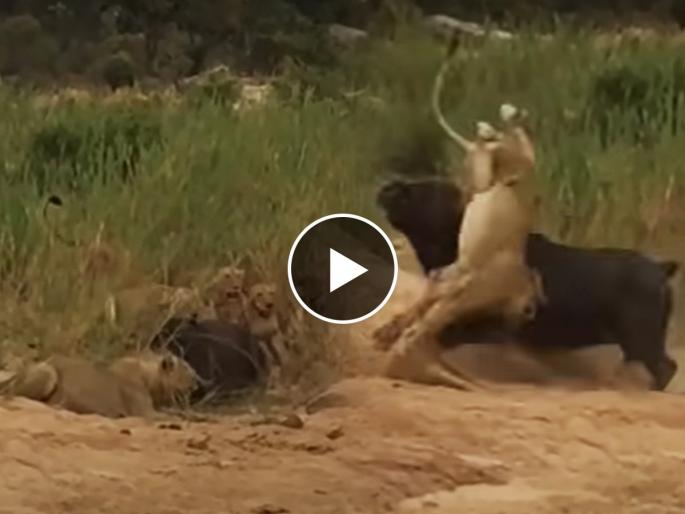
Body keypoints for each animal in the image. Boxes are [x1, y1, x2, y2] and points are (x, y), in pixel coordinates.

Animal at [0, 350, 198, 419]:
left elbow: (177, 412)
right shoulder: (145, 413)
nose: (197, 383)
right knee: (15, 394)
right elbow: (174, 417)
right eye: (188, 369)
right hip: (48, 372)